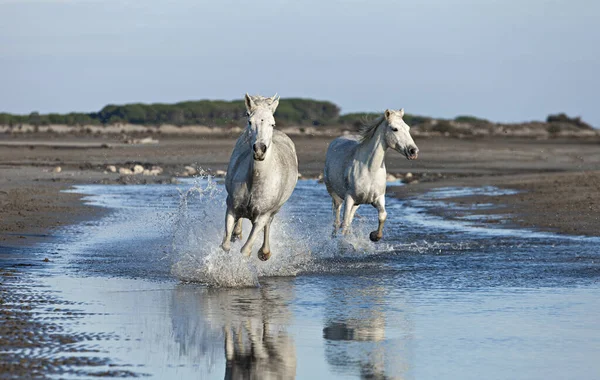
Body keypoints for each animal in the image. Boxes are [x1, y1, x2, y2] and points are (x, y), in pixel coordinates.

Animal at [220, 94, 298, 262]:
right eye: (250, 121)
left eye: (272, 124)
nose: (259, 150)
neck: (256, 180)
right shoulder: (231, 207)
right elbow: (225, 246)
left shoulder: (262, 216)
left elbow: (245, 251)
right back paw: (237, 233)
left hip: (274, 210)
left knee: (268, 224)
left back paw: (264, 252)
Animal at [324, 108, 418, 242]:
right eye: (394, 129)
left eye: (408, 128)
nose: (413, 151)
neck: (370, 170)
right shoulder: (349, 198)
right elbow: (344, 222)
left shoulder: (378, 198)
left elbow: (383, 216)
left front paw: (374, 236)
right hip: (336, 196)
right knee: (337, 221)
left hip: (357, 203)